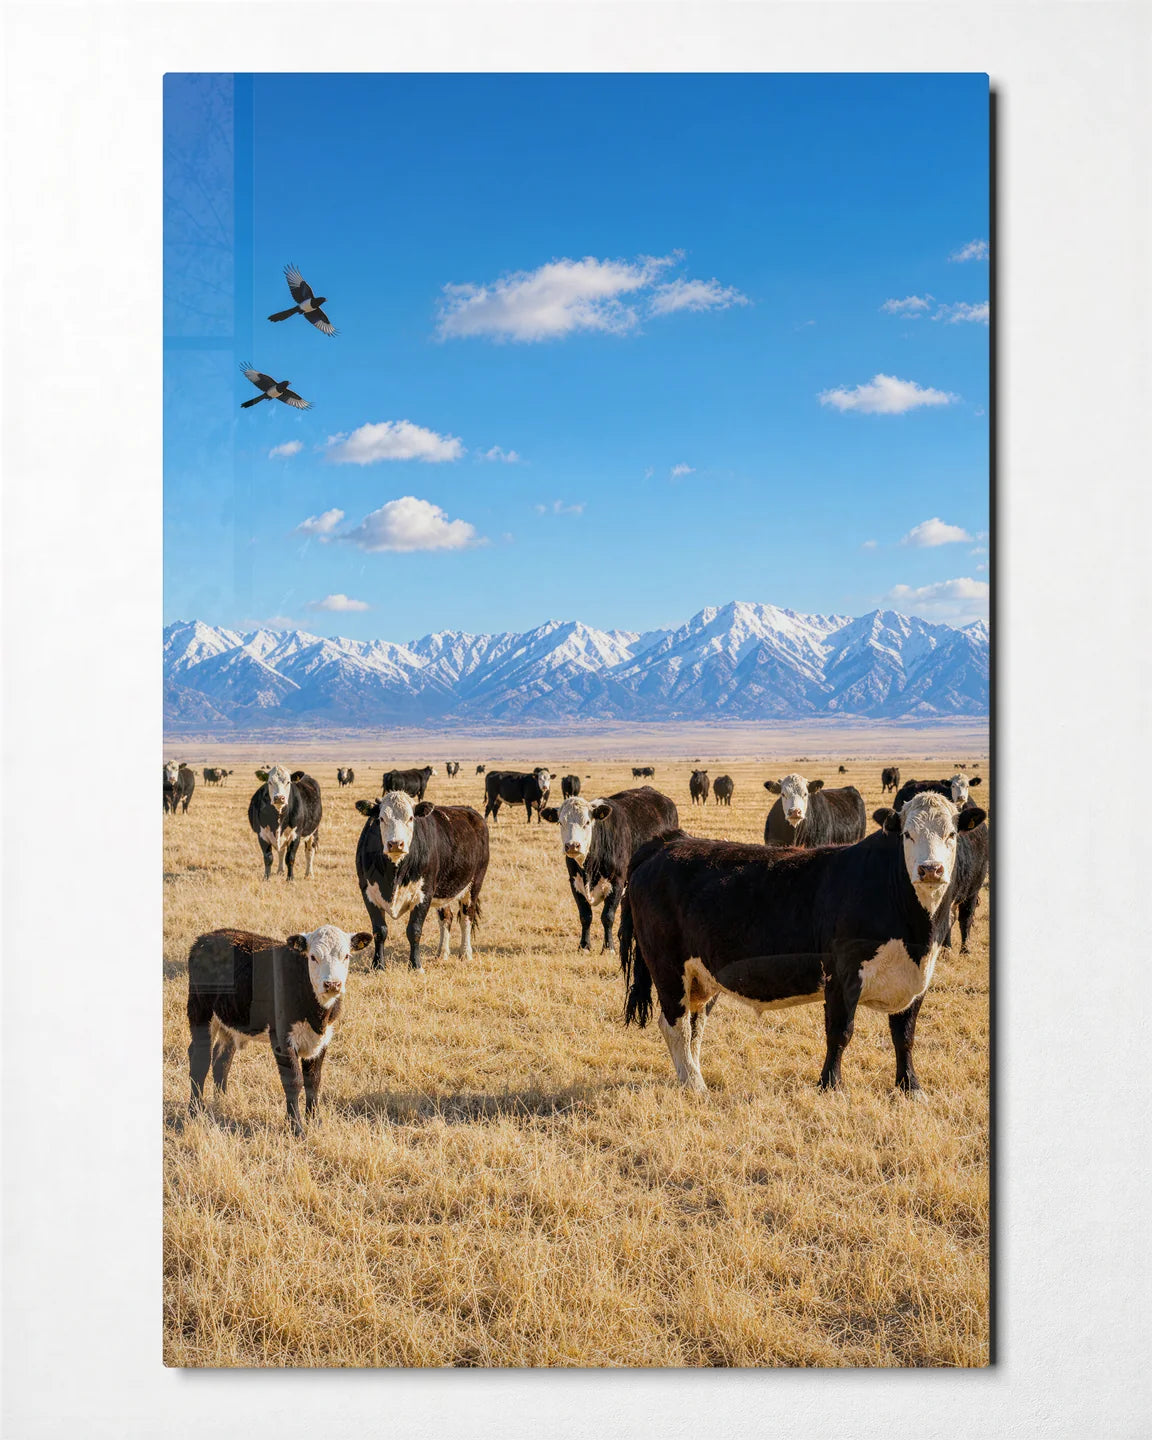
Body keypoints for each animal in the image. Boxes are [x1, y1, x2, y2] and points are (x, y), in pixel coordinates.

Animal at [186, 924, 372, 1135]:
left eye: (346, 956)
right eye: (313, 957)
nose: (332, 984)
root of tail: (206, 938)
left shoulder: (323, 1039)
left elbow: (313, 1080)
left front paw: (315, 1121)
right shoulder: (282, 1037)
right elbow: (293, 1081)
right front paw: (297, 1128)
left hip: (229, 1019)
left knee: (222, 1058)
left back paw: (222, 1102)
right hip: (200, 1010)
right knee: (200, 1058)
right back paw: (195, 1110)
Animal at [354, 792, 489, 971]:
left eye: (411, 818)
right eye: (381, 818)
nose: (395, 844)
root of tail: (470, 811)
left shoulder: (424, 894)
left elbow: (414, 930)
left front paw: (416, 966)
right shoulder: (368, 892)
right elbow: (379, 931)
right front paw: (378, 966)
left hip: (474, 885)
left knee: (466, 917)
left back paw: (465, 953)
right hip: (444, 890)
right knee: (446, 918)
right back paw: (442, 953)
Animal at [539, 786, 679, 954]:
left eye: (587, 822)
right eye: (560, 822)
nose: (572, 845)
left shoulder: (617, 882)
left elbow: (608, 916)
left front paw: (608, 948)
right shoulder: (575, 883)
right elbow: (585, 916)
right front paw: (584, 946)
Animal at [619, 791, 988, 1093]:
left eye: (951, 834)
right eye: (908, 834)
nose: (930, 869)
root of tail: (668, 843)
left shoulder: (917, 977)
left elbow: (905, 1035)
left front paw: (910, 1087)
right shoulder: (842, 975)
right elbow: (840, 1032)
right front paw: (831, 1086)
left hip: (701, 975)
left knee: (695, 1025)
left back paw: (693, 1075)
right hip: (668, 967)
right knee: (675, 1024)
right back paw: (695, 1085)